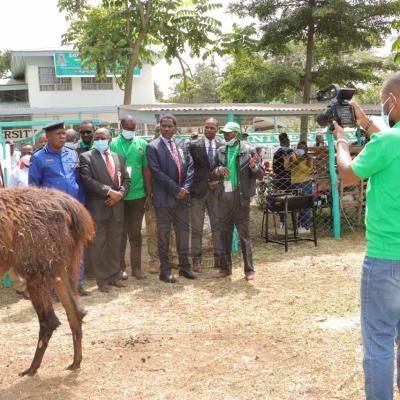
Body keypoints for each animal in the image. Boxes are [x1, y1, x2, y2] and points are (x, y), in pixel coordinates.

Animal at [0, 188, 94, 376]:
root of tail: (67, 205)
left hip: (38, 266)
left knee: (49, 320)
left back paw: (31, 368)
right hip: (56, 265)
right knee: (75, 312)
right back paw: (75, 362)